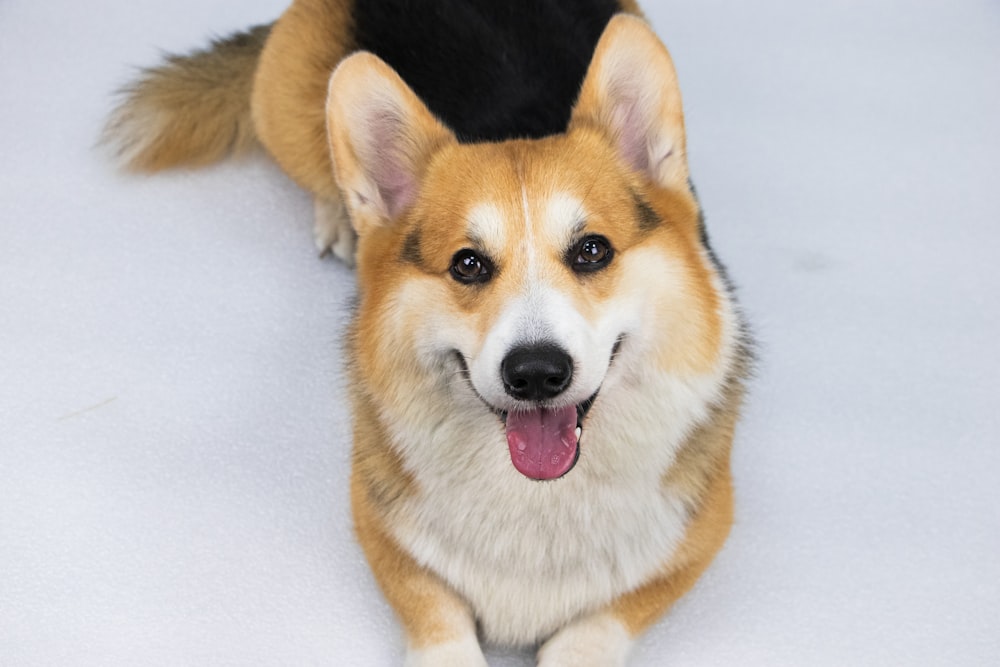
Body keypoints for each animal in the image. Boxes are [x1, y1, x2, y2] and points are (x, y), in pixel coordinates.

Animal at [107, 0, 752, 664]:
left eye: (592, 251)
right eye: (467, 264)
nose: (536, 374)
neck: (536, 492)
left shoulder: (699, 535)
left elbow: (594, 627)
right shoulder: (380, 525)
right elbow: (438, 616)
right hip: (284, 109)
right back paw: (340, 220)